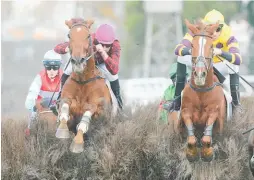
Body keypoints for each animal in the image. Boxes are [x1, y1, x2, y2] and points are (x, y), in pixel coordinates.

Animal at [56, 18, 112, 153]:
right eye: (69, 35)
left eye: (88, 36)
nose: (77, 62)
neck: (83, 81)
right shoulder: (67, 102)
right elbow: (65, 109)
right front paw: (62, 131)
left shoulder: (98, 108)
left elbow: (86, 117)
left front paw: (77, 142)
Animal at [177, 19, 226, 162]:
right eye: (192, 45)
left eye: (211, 46)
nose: (199, 74)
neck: (201, 92)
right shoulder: (186, 111)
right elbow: (191, 139)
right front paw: (191, 154)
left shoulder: (214, 112)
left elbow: (206, 138)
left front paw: (207, 153)